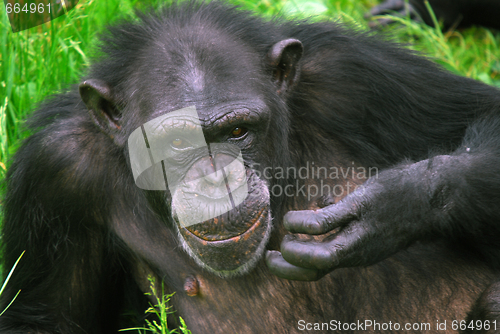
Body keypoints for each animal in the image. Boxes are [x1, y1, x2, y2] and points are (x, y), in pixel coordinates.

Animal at [0, 0, 500, 334]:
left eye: (238, 131)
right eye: (176, 142)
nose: (216, 179)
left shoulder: (353, 74)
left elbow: (486, 114)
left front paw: (387, 210)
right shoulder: (55, 174)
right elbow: (45, 319)